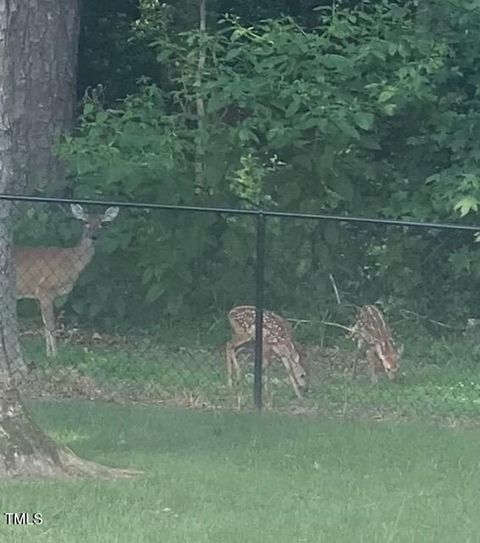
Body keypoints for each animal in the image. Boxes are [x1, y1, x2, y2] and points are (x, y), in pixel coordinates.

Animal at [13, 204, 119, 356]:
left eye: (102, 223)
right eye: (85, 221)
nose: (93, 237)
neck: (70, 261)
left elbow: (46, 325)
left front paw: (48, 354)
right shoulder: (45, 289)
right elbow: (51, 325)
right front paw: (55, 355)